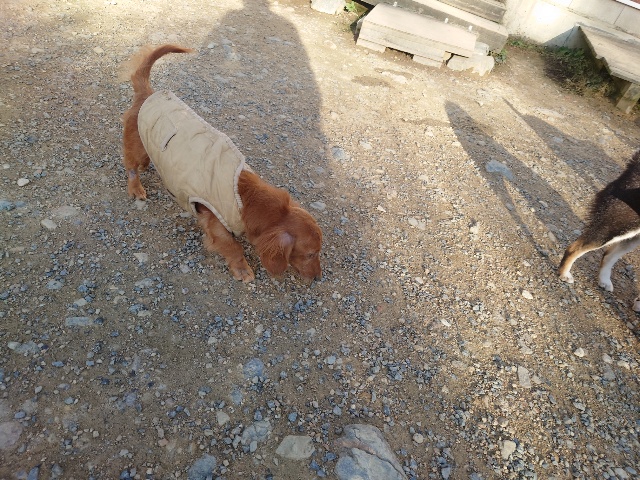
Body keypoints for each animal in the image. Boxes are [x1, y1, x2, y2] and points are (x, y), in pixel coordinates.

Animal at [122, 44, 322, 282]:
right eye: (310, 254)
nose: (319, 277)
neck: (245, 199)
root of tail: (148, 93)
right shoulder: (214, 220)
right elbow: (233, 246)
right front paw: (242, 268)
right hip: (138, 146)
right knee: (131, 166)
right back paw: (136, 187)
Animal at [559, 149, 640, 310]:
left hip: (630, 236)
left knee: (608, 255)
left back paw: (604, 281)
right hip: (617, 226)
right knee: (575, 248)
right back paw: (564, 274)